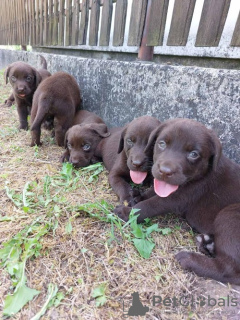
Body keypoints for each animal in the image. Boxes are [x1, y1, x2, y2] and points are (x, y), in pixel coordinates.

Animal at [115, 117, 240, 284]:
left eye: (193, 154)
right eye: (161, 143)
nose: (165, 171)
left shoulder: (179, 197)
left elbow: (150, 205)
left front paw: (126, 212)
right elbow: (152, 192)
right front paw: (136, 197)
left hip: (230, 214)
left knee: (230, 270)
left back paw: (189, 259)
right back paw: (207, 243)